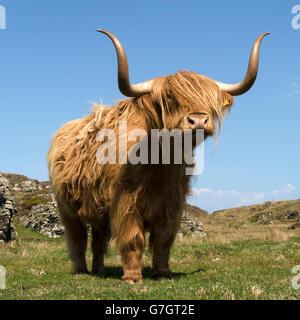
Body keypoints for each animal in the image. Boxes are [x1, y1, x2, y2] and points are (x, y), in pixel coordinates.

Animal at [47, 30, 270, 284]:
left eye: (210, 100)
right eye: (170, 98)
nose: (198, 120)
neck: (161, 162)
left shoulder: (171, 205)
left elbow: (163, 240)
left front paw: (163, 274)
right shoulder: (125, 202)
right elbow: (133, 238)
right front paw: (132, 277)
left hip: (97, 210)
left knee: (99, 239)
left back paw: (98, 270)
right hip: (66, 207)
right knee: (77, 238)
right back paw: (81, 270)